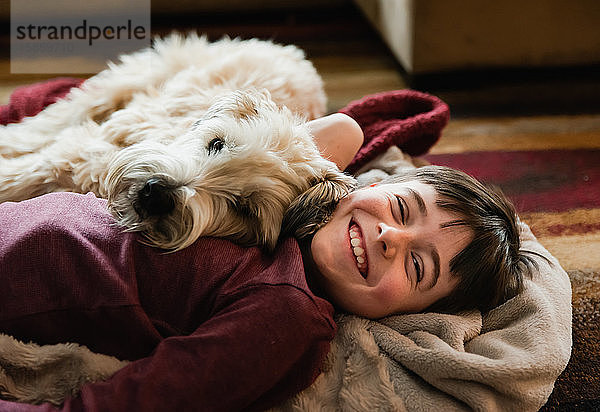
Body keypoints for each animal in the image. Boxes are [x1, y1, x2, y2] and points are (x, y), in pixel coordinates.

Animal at [0, 33, 356, 249]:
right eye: (216, 144)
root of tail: (291, 51)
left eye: (244, 208)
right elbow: (21, 171)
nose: (157, 193)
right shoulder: (81, 147)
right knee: (55, 118)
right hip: (135, 80)